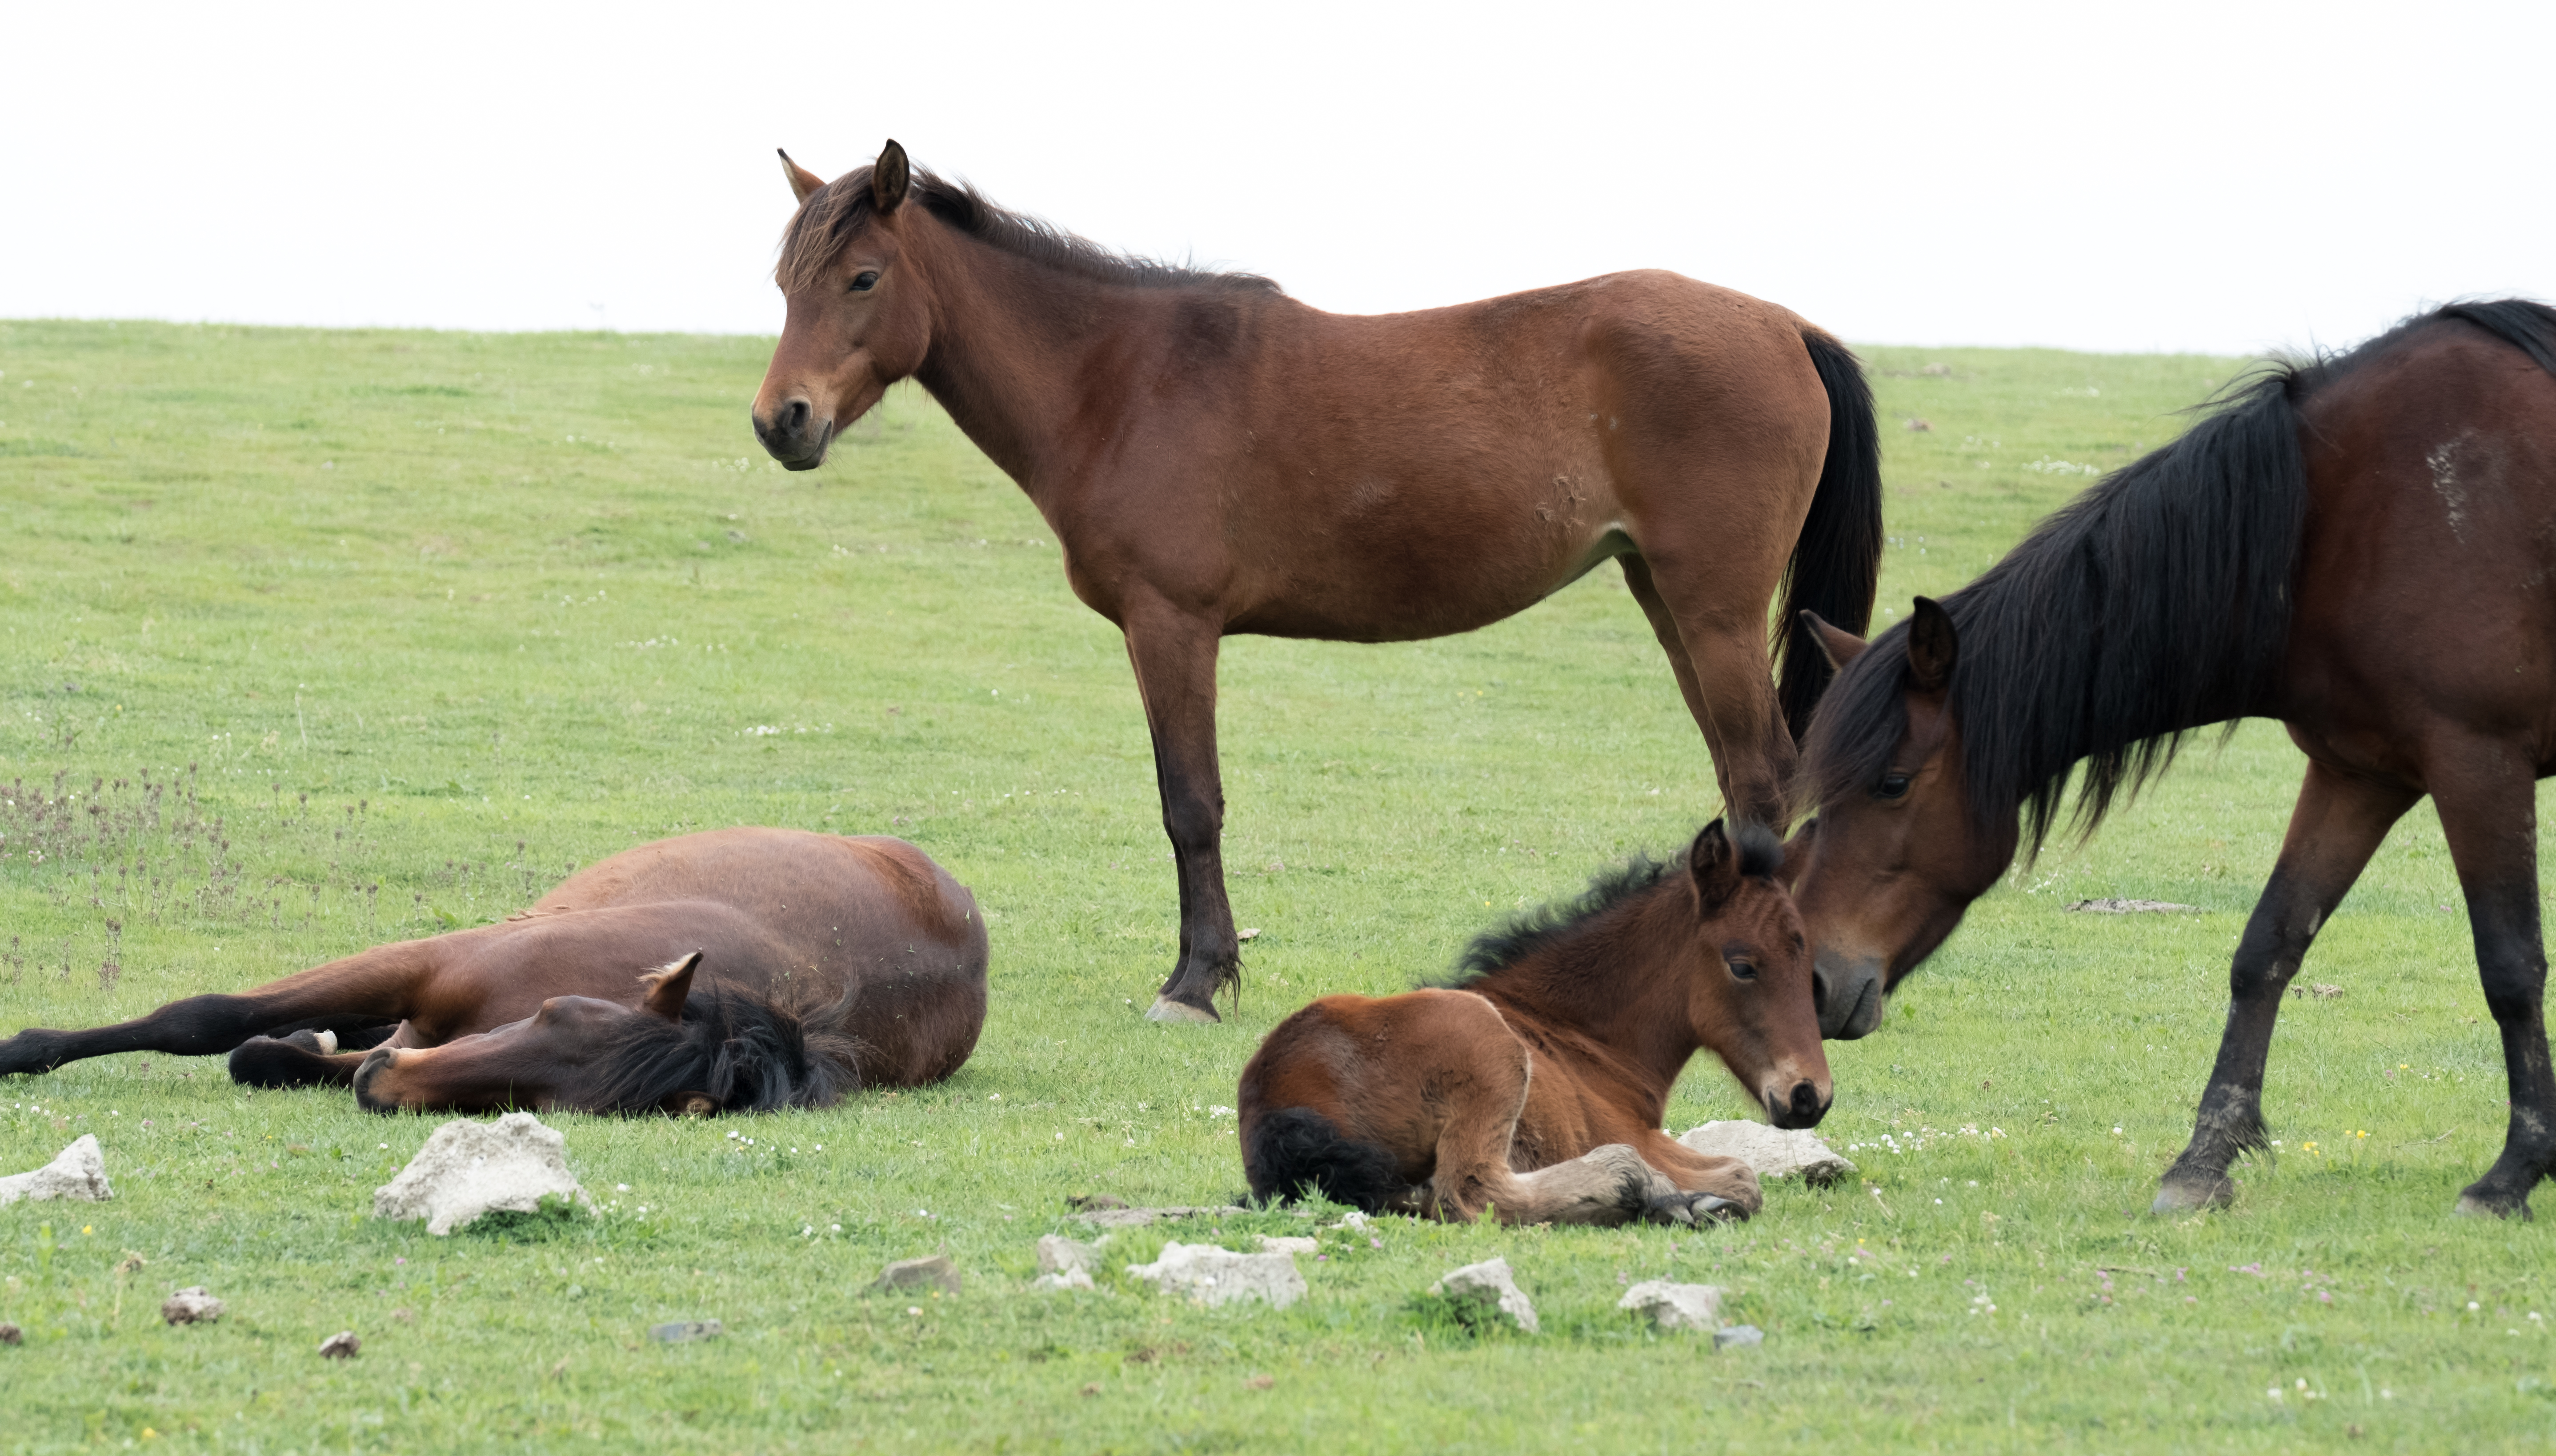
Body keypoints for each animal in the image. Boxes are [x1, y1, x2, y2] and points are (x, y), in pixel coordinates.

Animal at [0, 828, 986, 1108]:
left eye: (563, 1105)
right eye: (558, 1014)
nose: (386, 1086)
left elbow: (263, 1054)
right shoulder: (421, 965)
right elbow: (204, 1019)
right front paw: (21, 1050)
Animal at [746, 138, 1891, 1021]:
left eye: (862, 279)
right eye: (784, 285)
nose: (780, 422)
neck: (1120, 381)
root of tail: (1786, 326)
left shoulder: (1172, 625)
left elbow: (1190, 805)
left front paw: (1194, 984)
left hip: (1715, 611)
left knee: (1759, 780)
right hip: (1669, 601)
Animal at [1232, 822, 1820, 1221]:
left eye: (1807, 959)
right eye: (1742, 966)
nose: (1809, 1096)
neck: (1581, 1041)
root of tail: (1271, 1094)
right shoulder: (1639, 1135)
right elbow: (1743, 1178)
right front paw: (1684, 1197)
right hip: (1487, 1047)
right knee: (1471, 1192)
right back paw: (1635, 1188)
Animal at [1789, 297, 2556, 1211]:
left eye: (1893, 784)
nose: (1813, 981)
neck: (2349, 517)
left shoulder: (2479, 765)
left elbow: (2510, 966)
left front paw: (2514, 1171)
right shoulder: (2357, 775)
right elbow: (2266, 950)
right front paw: (2204, 1159)